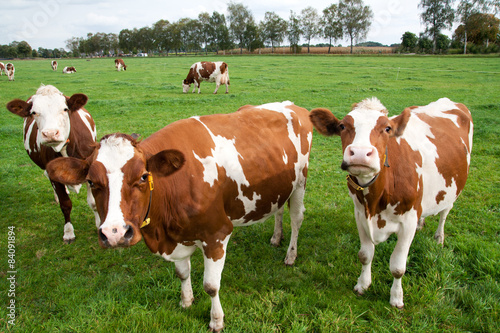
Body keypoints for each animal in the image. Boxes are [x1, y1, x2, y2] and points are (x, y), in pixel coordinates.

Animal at [5, 84, 99, 243]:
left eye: (65, 109)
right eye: (34, 112)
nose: (50, 133)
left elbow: (93, 202)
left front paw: (99, 226)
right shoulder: (53, 174)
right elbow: (65, 203)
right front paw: (68, 233)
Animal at [46, 100, 312, 330]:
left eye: (143, 176)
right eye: (91, 182)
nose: (114, 233)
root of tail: (292, 105)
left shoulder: (217, 233)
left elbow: (211, 286)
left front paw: (216, 321)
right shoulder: (175, 236)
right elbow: (182, 273)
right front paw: (186, 302)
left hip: (300, 182)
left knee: (296, 219)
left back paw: (290, 255)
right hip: (280, 186)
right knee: (279, 210)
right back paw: (276, 238)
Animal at [308, 97, 472, 308]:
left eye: (387, 128)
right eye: (343, 126)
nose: (360, 153)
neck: (375, 201)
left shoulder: (408, 221)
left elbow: (398, 267)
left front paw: (396, 298)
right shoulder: (360, 214)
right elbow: (365, 255)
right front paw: (362, 284)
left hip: (452, 190)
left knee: (444, 213)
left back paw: (439, 237)